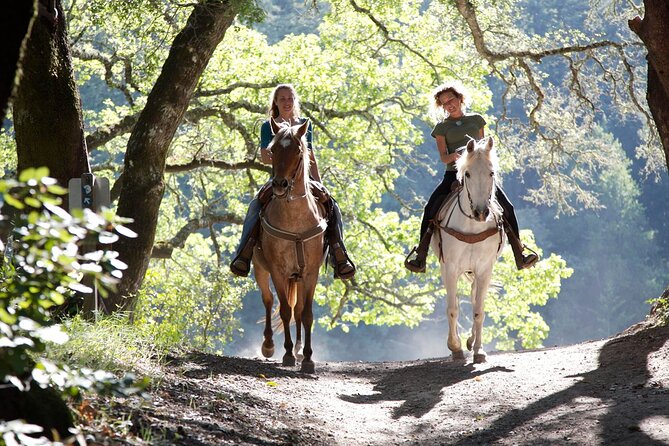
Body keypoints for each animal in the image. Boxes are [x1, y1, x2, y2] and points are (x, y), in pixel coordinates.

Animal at [250, 117, 326, 372]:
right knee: (268, 300)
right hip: (260, 269)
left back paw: (300, 350)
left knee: (299, 310)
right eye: (272, 150)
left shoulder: (311, 273)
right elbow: (283, 310)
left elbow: (307, 314)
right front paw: (287, 354)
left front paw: (308, 358)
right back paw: (269, 345)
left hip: (299, 277)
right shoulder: (278, 271)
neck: (295, 222)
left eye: (298, 150)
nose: (280, 185)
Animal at [430, 138, 504, 364]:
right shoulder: (450, 268)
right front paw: (455, 347)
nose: (481, 213)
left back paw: (471, 341)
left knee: (473, 298)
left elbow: (478, 310)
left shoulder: (484, 269)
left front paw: (479, 350)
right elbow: (453, 309)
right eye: (468, 174)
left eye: (491, 173)